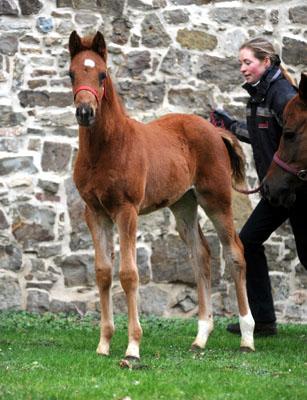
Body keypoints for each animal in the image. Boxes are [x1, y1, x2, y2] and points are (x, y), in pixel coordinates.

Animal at [69, 31, 255, 360]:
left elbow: (129, 274)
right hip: (184, 204)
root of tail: (214, 130)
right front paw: (104, 344)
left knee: (234, 252)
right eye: (71, 74)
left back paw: (247, 337)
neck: (107, 147)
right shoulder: (95, 212)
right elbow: (103, 272)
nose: (85, 112)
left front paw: (132, 347)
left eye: (102, 74)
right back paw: (201, 337)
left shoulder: (126, 210)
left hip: (216, 199)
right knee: (201, 255)